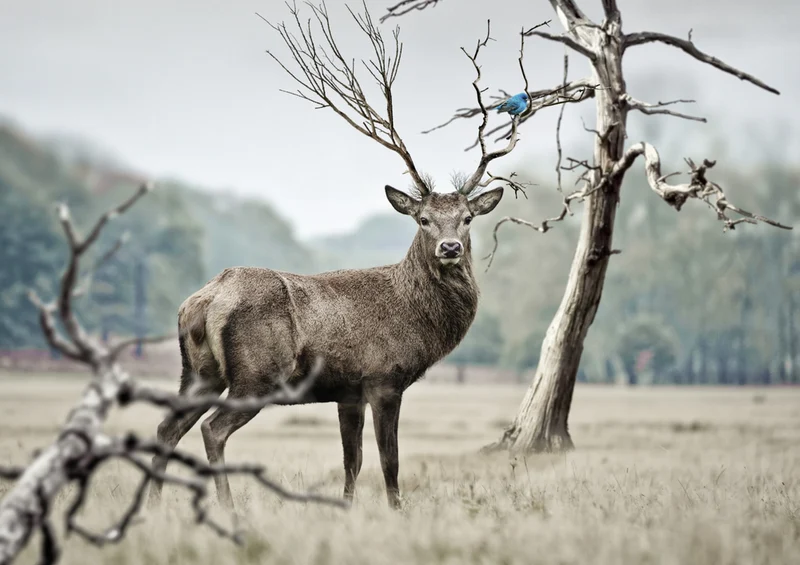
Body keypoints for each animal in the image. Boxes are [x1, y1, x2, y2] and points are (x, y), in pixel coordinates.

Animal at [147, 4, 526, 510]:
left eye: (467, 218)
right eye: (423, 219)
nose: (450, 248)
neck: (418, 320)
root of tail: (204, 300)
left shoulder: (349, 391)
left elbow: (353, 461)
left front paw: (346, 509)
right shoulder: (384, 377)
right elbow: (389, 460)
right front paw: (396, 511)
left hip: (198, 372)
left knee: (167, 426)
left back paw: (152, 506)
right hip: (257, 374)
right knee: (212, 429)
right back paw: (227, 506)